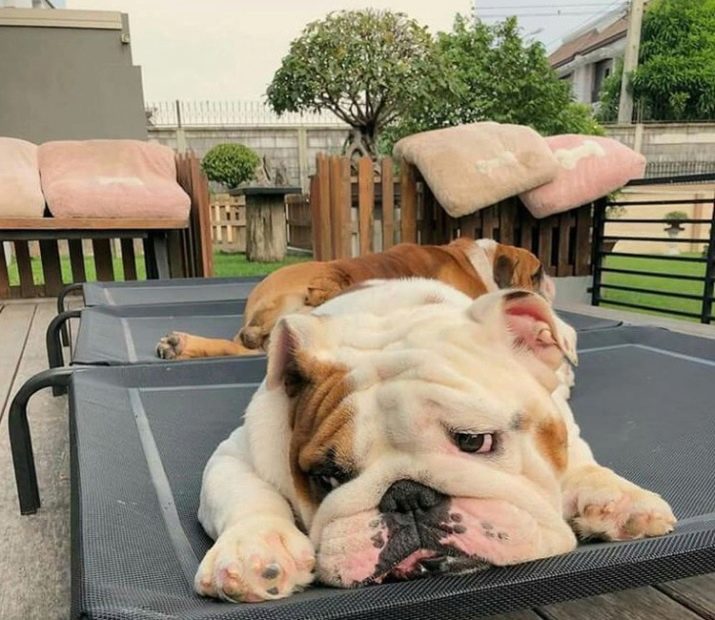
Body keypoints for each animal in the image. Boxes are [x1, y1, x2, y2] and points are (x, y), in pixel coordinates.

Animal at [194, 278, 676, 603]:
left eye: (475, 441)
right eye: (328, 478)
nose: (406, 497)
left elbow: (580, 461)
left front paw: (617, 499)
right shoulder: (237, 451)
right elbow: (245, 492)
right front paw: (254, 549)